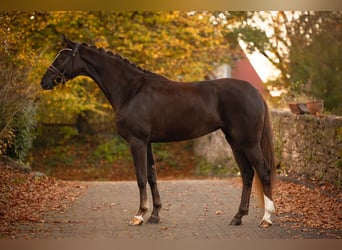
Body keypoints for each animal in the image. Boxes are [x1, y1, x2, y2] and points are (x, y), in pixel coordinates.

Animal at [40, 35, 276, 229]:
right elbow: (152, 176)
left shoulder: (137, 142)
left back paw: (266, 219)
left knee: (263, 172)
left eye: (63, 57)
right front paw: (155, 215)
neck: (131, 91)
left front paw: (139, 215)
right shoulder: (148, 143)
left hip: (248, 142)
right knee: (247, 174)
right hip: (235, 142)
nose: (44, 82)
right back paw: (238, 217)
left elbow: (140, 178)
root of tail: (255, 92)